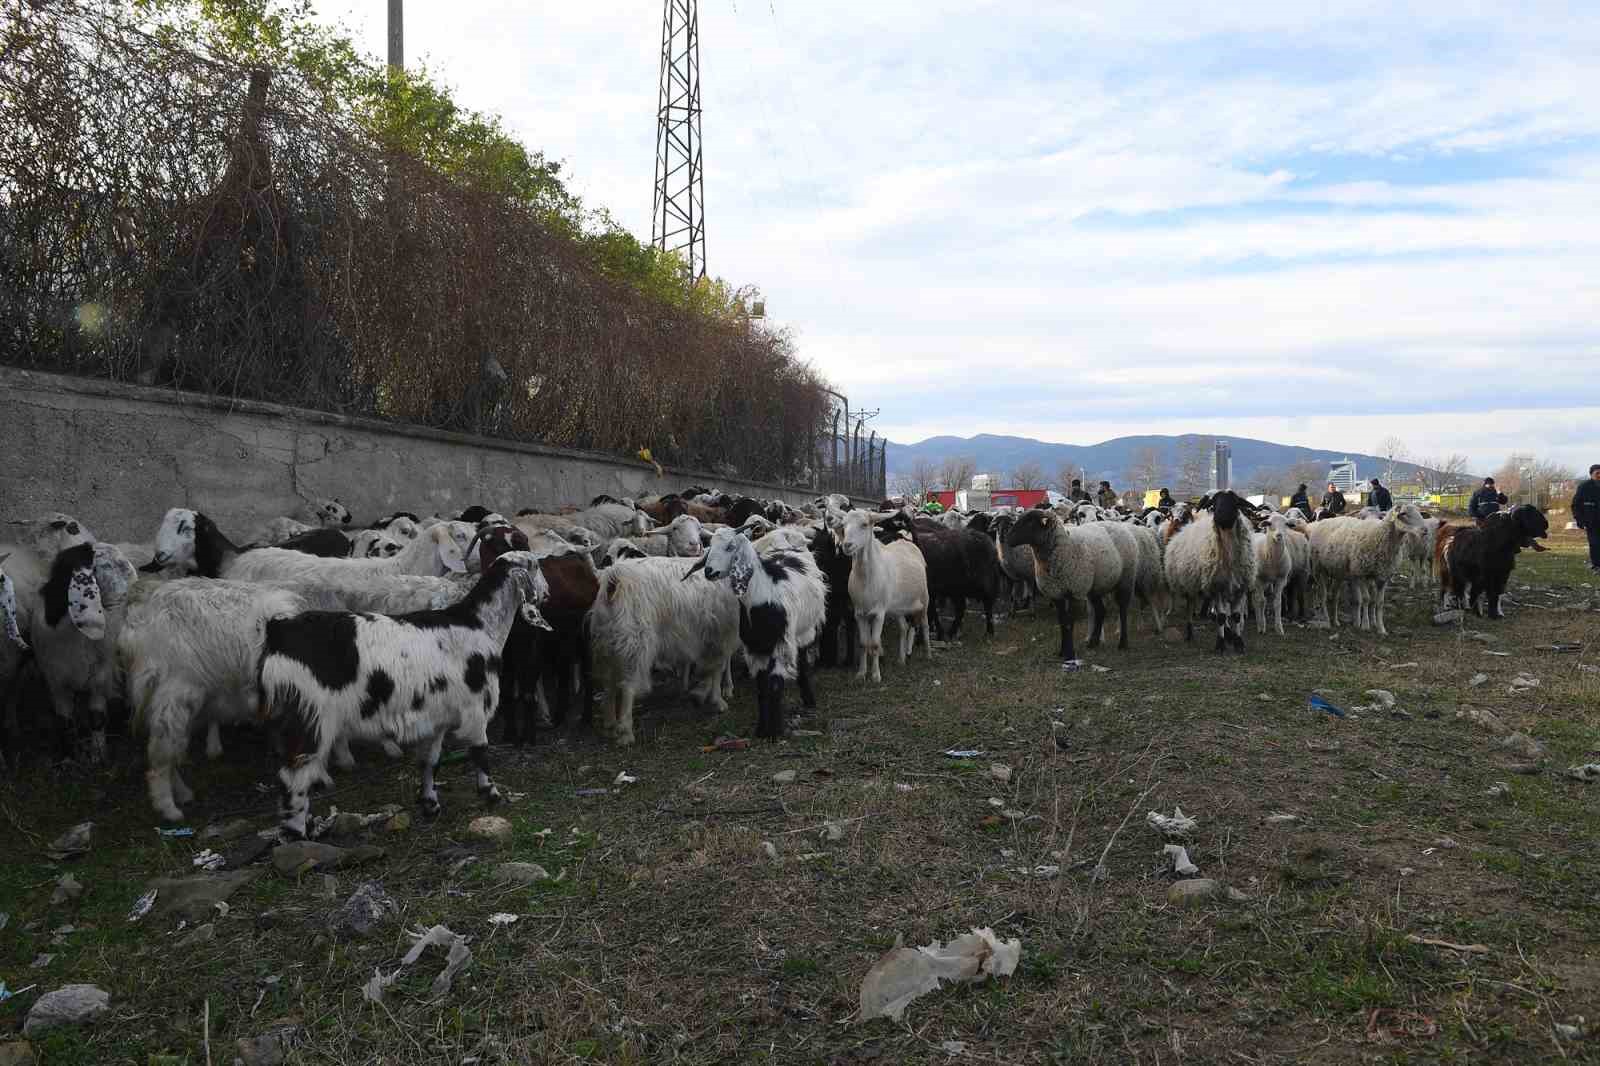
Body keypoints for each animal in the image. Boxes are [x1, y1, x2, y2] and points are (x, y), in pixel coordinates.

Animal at [251, 547, 550, 838]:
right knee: (295, 777)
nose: (547, 593)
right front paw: (491, 794)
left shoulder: (436, 718)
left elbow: (430, 761)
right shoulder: (475, 708)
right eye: (535, 564)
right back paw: (297, 832)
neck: (479, 625)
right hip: (311, 718)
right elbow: (480, 753)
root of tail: (279, 631)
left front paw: (430, 804)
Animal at [585, 550, 739, 742]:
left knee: (609, 683)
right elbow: (717, 669)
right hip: (635, 643)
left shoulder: (710, 638)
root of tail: (615, 578)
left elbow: (712, 668)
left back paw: (609, 723)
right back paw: (626, 732)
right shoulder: (721, 635)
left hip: (608, 644)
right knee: (627, 686)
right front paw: (718, 700)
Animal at [681, 524, 825, 739]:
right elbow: (761, 688)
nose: (709, 571)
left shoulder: (780, 646)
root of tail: (787, 538)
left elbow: (774, 686)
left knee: (802, 661)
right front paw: (761, 730)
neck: (763, 600)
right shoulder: (755, 648)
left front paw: (775, 732)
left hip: (804, 632)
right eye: (710, 546)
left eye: (730, 546)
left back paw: (809, 699)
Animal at [832, 508, 934, 681]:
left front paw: (875, 676)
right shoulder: (859, 613)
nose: (847, 545)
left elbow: (874, 644)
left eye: (865, 524)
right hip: (897, 606)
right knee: (903, 628)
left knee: (925, 624)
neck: (866, 577)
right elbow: (863, 644)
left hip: (924, 598)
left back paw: (928, 655)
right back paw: (901, 660)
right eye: (844, 525)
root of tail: (906, 541)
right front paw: (861, 674)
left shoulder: (879, 613)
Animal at [1164, 492, 1260, 653]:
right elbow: (1221, 616)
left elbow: (1236, 616)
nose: (1219, 515)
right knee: (1190, 609)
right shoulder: (1217, 586)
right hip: (1191, 584)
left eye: (1235, 501)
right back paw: (1190, 634)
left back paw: (1229, 634)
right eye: (1214, 503)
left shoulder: (1239, 586)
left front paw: (1238, 642)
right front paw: (1220, 645)